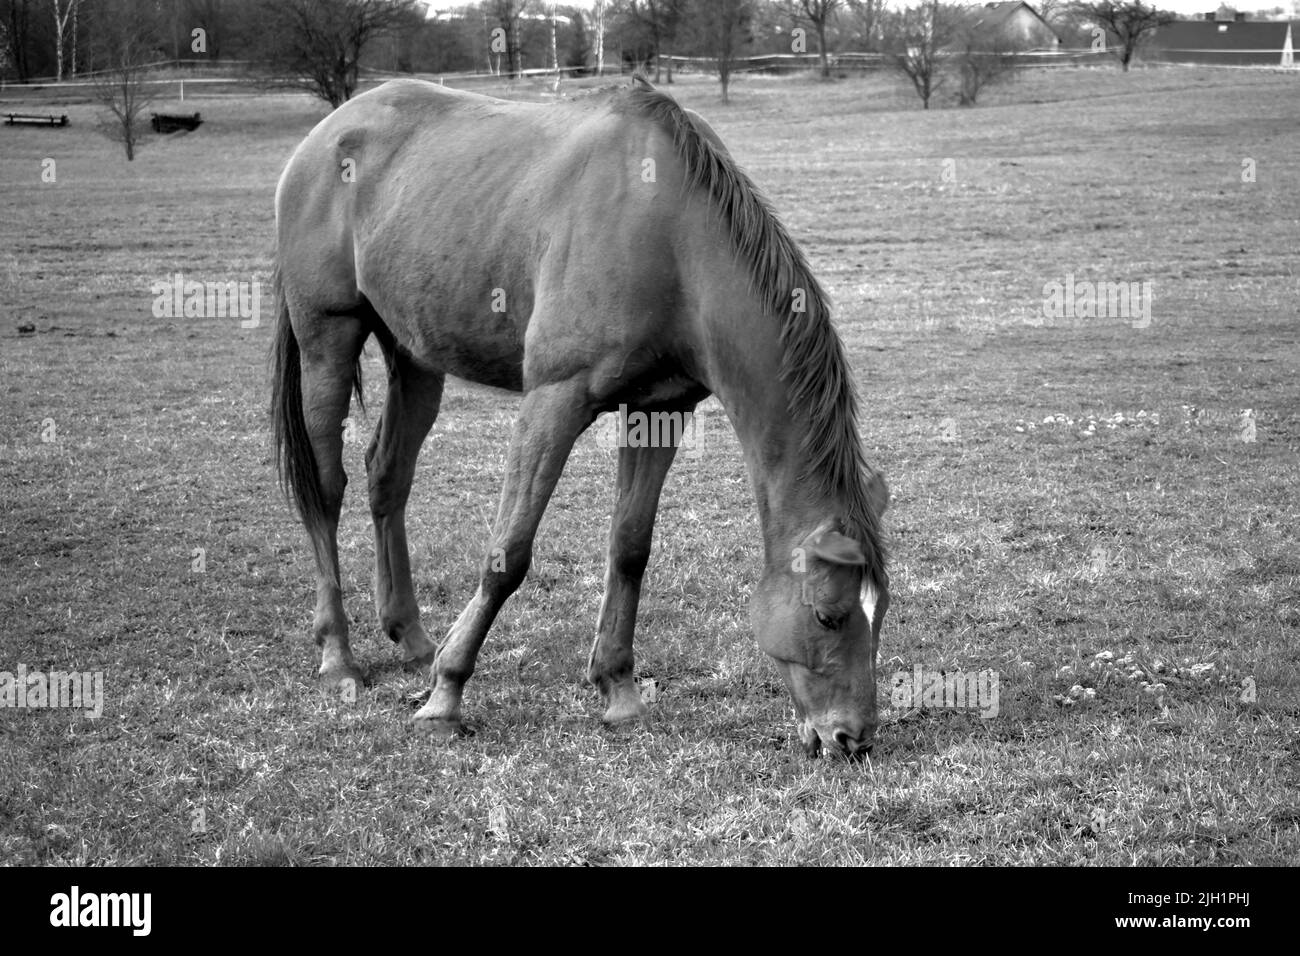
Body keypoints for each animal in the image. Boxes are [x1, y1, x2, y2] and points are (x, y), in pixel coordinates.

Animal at [270, 75, 890, 758]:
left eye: (881, 611)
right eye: (828, 615)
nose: (852, 737)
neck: (669, 235)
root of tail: (330, 133)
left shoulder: (659, 410)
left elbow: (630, 547)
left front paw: (617, 689)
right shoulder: (553, 401)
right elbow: (508, 555)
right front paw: (446, 695)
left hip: (414, 357)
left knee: (388, 477)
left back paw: (410, 638)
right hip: (327, 338)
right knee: (326, 492)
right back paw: (339, 657)